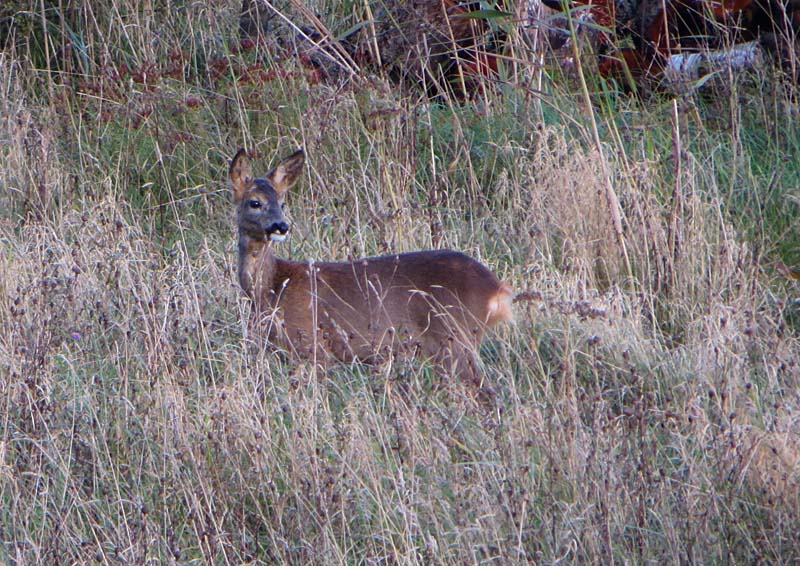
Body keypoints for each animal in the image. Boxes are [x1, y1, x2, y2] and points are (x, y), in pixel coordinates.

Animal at [228, 149, 512, 388]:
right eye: (255, 202)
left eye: (282, 203)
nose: (281, 226)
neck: (272, 287)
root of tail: (498, 290)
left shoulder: (312, 345)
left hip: (455, 338)